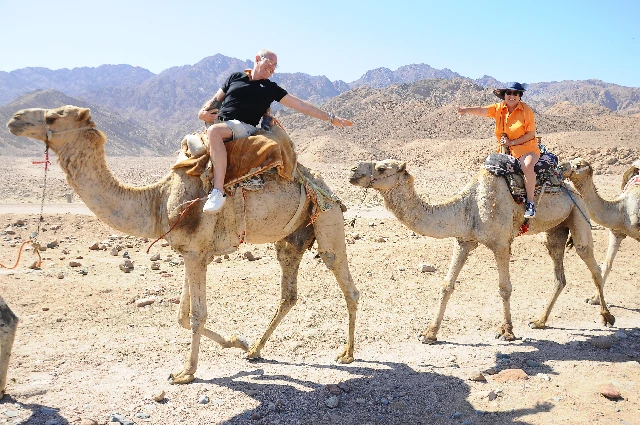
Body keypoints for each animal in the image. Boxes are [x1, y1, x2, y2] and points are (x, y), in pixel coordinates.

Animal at [6, 105, 359, 385]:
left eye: (52, 115)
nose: (14, 119)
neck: (157, 200)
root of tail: (328, 189)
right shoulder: (191, 253)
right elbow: (182, 314)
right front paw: (239, 342)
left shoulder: (196, 254)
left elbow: (197, 314)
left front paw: (186, 372)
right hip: (291, 239)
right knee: (289, 293)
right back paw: (256, 350)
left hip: (328, 221)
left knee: (345, 282)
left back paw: (348, 353)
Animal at [349, 159, 615, 343]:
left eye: (382, 168)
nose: (352, 171)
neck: (469, 206)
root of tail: (572, 188)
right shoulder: (464, 240)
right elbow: (446, 285)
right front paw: (429, 333)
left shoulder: (501, 243)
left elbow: (504, 288)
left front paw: (506, 331)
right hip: (556, 230)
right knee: (559, 272)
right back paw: (539, 321)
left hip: (579, 212)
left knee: (591, 262)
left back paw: (607, 316)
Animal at [560, 157, 640, 304]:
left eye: (578, 165)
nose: (561, 165)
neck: (621, 209)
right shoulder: (617, 232)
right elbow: (607, 264)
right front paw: (594, 299)